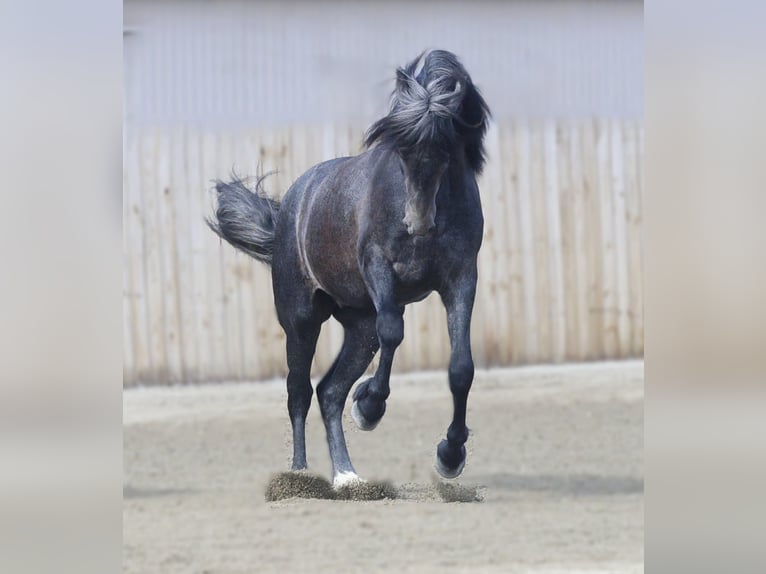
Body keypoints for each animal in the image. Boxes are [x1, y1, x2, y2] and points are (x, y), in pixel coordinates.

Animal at [208, 49, 490, 488]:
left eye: (447, 147)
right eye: (401, 149)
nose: (418, 223)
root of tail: (291, 207)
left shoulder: (461, 280)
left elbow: (461, 368)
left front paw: (450, 454)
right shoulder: (378, 267)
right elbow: (394, 331)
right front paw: (370, 406)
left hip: (358, 326)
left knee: (330, 391)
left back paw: (347, 476)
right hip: (301, 320)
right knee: (299, 391)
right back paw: (301, 475)